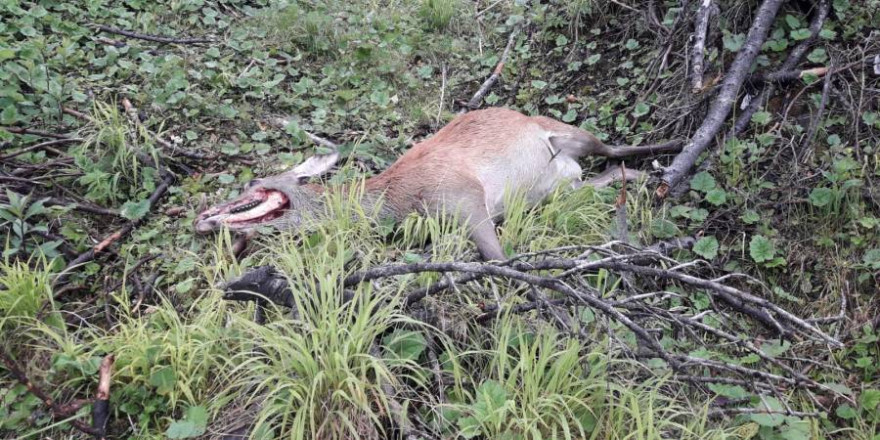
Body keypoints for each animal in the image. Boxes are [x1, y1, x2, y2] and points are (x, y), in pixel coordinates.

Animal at [196, 108, 680, 260]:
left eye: (256, 183)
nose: (203, 217)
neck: (392, 202)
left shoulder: (464, 197)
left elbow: (500, 259)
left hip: (566, 132)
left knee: (615, 148)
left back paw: (676, 147)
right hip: (565, 186)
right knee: (609, 174)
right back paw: (654, 175)